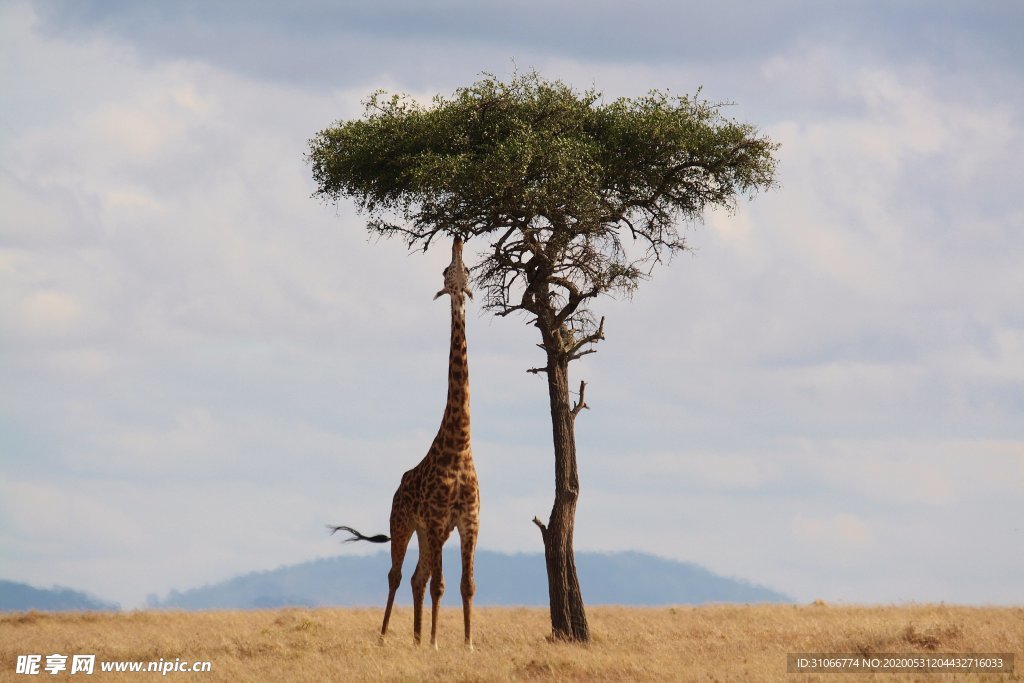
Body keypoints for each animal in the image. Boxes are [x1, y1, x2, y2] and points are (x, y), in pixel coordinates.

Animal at [333, 239, 481, 651]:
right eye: (447, 271)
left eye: (467, 271)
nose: (458, 240)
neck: (459, 445)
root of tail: (398, 488)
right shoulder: (437, 518)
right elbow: (441, 585)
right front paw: (435, 643)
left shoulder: (467, 521)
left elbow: (466, 585)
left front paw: (467, 644)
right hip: (402, 523)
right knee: (397, 575)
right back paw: (387, 636)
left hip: (430, 533)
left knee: (417, 577)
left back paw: (415, 639)